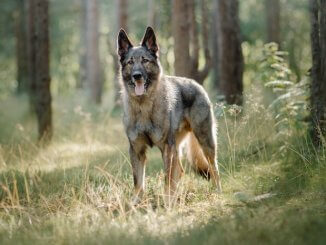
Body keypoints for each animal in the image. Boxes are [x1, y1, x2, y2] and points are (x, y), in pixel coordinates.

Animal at [117, 26, 222, 203]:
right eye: (130, 62)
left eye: (145, 60)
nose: (137, 76)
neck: (144, 107)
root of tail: (196, 84)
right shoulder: (137, 150)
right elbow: (138, 182)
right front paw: (135, 203)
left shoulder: (166, 148)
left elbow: (167, 179)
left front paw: (167, 203)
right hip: (177, 148)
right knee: (180, 171)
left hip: (205, 141)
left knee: (213, 168)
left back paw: (217, 192)